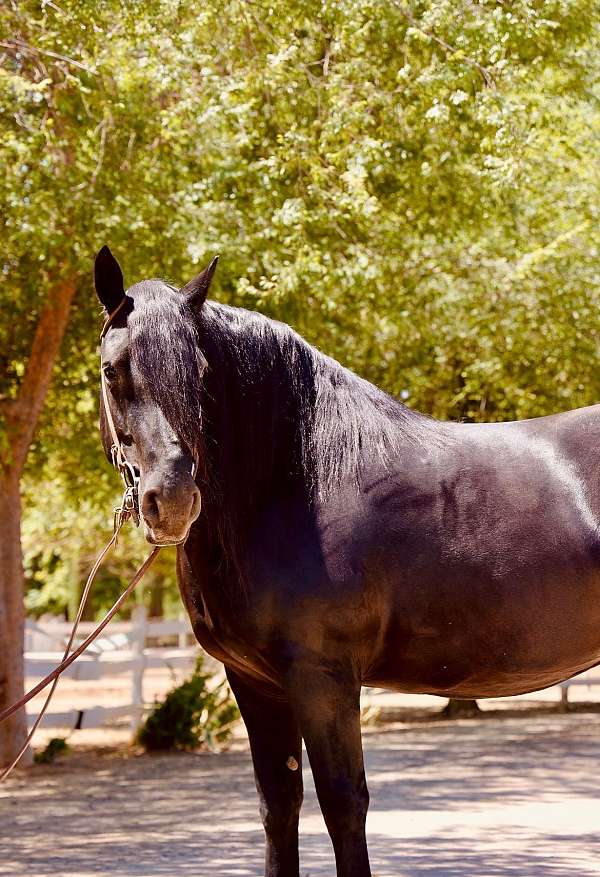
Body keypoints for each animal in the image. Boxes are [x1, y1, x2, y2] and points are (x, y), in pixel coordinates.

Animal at [95, 246, 600, 876]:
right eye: (112, 369)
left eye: (202, 375)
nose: (173, 499)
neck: (298, 483)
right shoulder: (254, 683)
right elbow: (279, 804)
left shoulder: (323, 677)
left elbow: (342, 804)